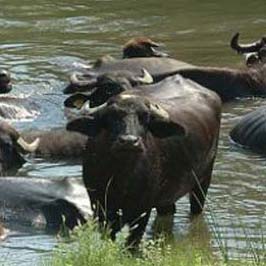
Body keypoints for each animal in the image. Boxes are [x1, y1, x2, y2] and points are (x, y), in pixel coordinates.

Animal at [67, 74, 222, 244]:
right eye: (110, 117)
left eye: (145, 117)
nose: (129, 141)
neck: (120, 176)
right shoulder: (101, 207)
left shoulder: (142, 211)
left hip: (204, 180)